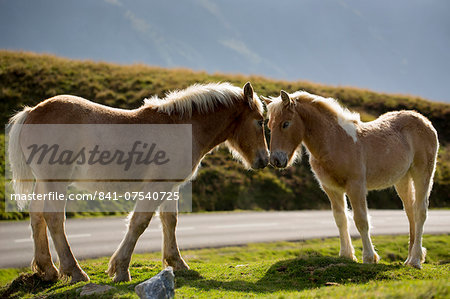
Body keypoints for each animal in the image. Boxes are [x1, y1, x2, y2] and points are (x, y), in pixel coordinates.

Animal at [7, 82, 268, 284]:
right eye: (260, 121)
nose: (264, 160)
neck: (181, 128)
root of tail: (31, 112)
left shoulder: (170, 187)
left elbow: (170, 221)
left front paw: (177, 263)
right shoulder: (156, 186)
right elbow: (139, 222)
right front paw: (121, 269)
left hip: (44, 183)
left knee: (37, 216)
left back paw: (48, 270)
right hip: (55, 182)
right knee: (53, 218)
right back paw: (75, 272)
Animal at [262, 89, 438, 270]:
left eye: (285, 124)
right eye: (269, 126)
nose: (275, 160)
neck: (335, 141)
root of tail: (424, 121)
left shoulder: (356, 186)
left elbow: (361, 220)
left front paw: (369, 257)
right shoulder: (331, 188)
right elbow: (341, 219)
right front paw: (346, 255)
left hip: (422, 173)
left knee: (420, 211)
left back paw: (415, 260)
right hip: (403, 179)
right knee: (410, 211)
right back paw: (411, 259)